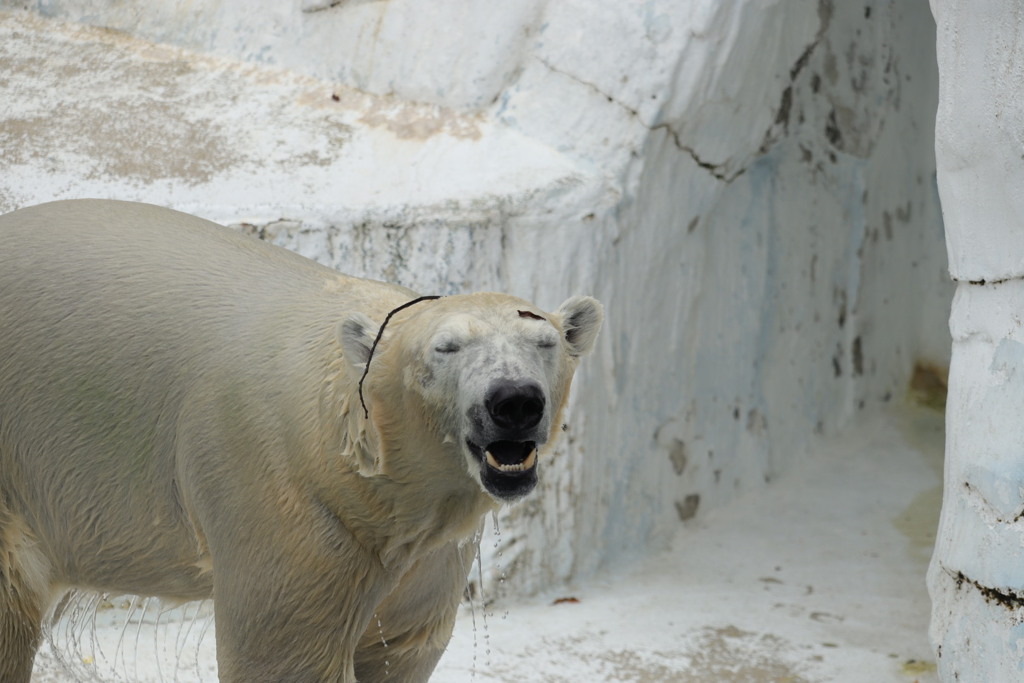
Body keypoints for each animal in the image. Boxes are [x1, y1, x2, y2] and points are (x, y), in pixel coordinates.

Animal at [0, 200, 598, 683]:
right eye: (445, 348)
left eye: (544, 341)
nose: (514, 401)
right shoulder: (289, 499)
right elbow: (284, 653)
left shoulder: (430, 549)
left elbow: (402, 645)